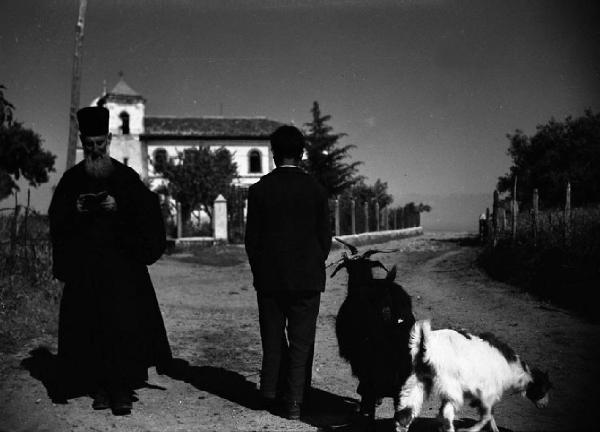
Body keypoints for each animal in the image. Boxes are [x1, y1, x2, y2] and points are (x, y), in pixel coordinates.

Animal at [396, 318, 552, 432]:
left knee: (406, 411)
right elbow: (487, 416)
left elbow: (490, 415)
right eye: (543, 389)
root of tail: (425, 346)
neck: (512, 368)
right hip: (450, 386)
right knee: (446, 413)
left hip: (418, 381)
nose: (545, 405)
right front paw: (470, 430)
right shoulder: (488, 393)